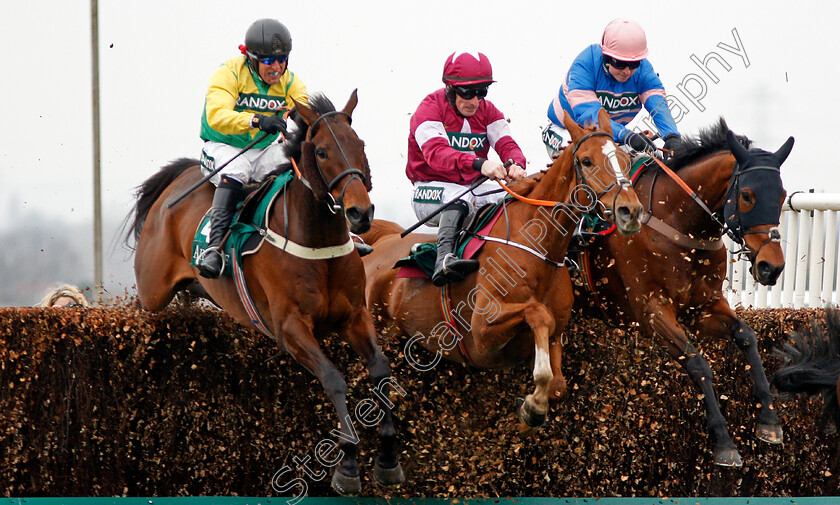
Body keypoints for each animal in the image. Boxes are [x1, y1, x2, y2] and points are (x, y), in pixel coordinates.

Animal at [125, 91, 406, 496]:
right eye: (322, 151)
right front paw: (349, 462)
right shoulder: (290, 327)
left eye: (360, 145)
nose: (360, 213)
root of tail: (179, 178)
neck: (316, 241)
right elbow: (334, 379)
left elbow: (381, 371)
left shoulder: (354, 316)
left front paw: (387, 456)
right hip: (151, 293)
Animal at [360, 108, 644, 428]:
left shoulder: (555, 335)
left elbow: (558, 385)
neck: (538, 247)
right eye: (586, 160)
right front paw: (534, 403)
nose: (630, 211)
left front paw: (530, 408)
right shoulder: (483, 332)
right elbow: (538, 313)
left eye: (624, 158)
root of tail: (382, 242)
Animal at [572, 117, 796, 464]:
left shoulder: (702, 307)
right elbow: (698, 363)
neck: (677, 223)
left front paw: (769, 421)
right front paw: (724, 442)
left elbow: (747, 337)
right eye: (747, 195)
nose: (771, 267)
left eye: (783, 193)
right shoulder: (651, 312)